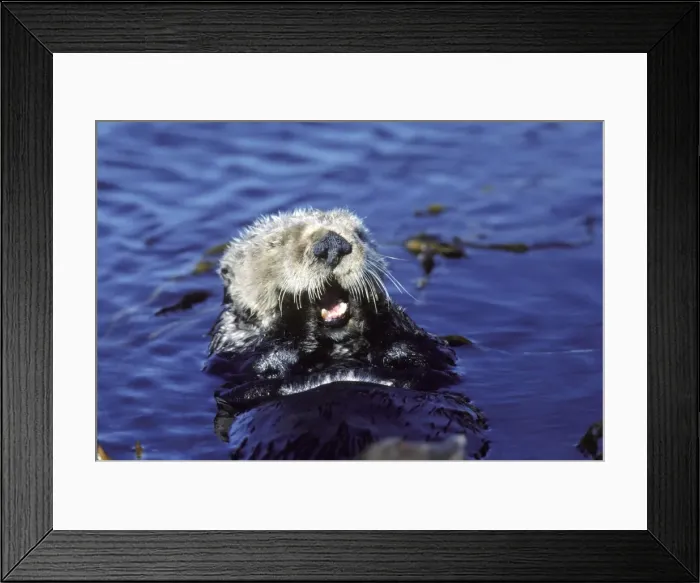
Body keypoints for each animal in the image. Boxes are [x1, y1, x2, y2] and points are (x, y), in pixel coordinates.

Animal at [206, 208, 489, 460]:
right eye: (275, 243)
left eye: (359, 234)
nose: (331, 244)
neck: (337, 353)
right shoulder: (233, 360)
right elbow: (264, 365)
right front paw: (296, 309)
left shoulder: (438, 360)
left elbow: (428, 353)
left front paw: (372, 303)